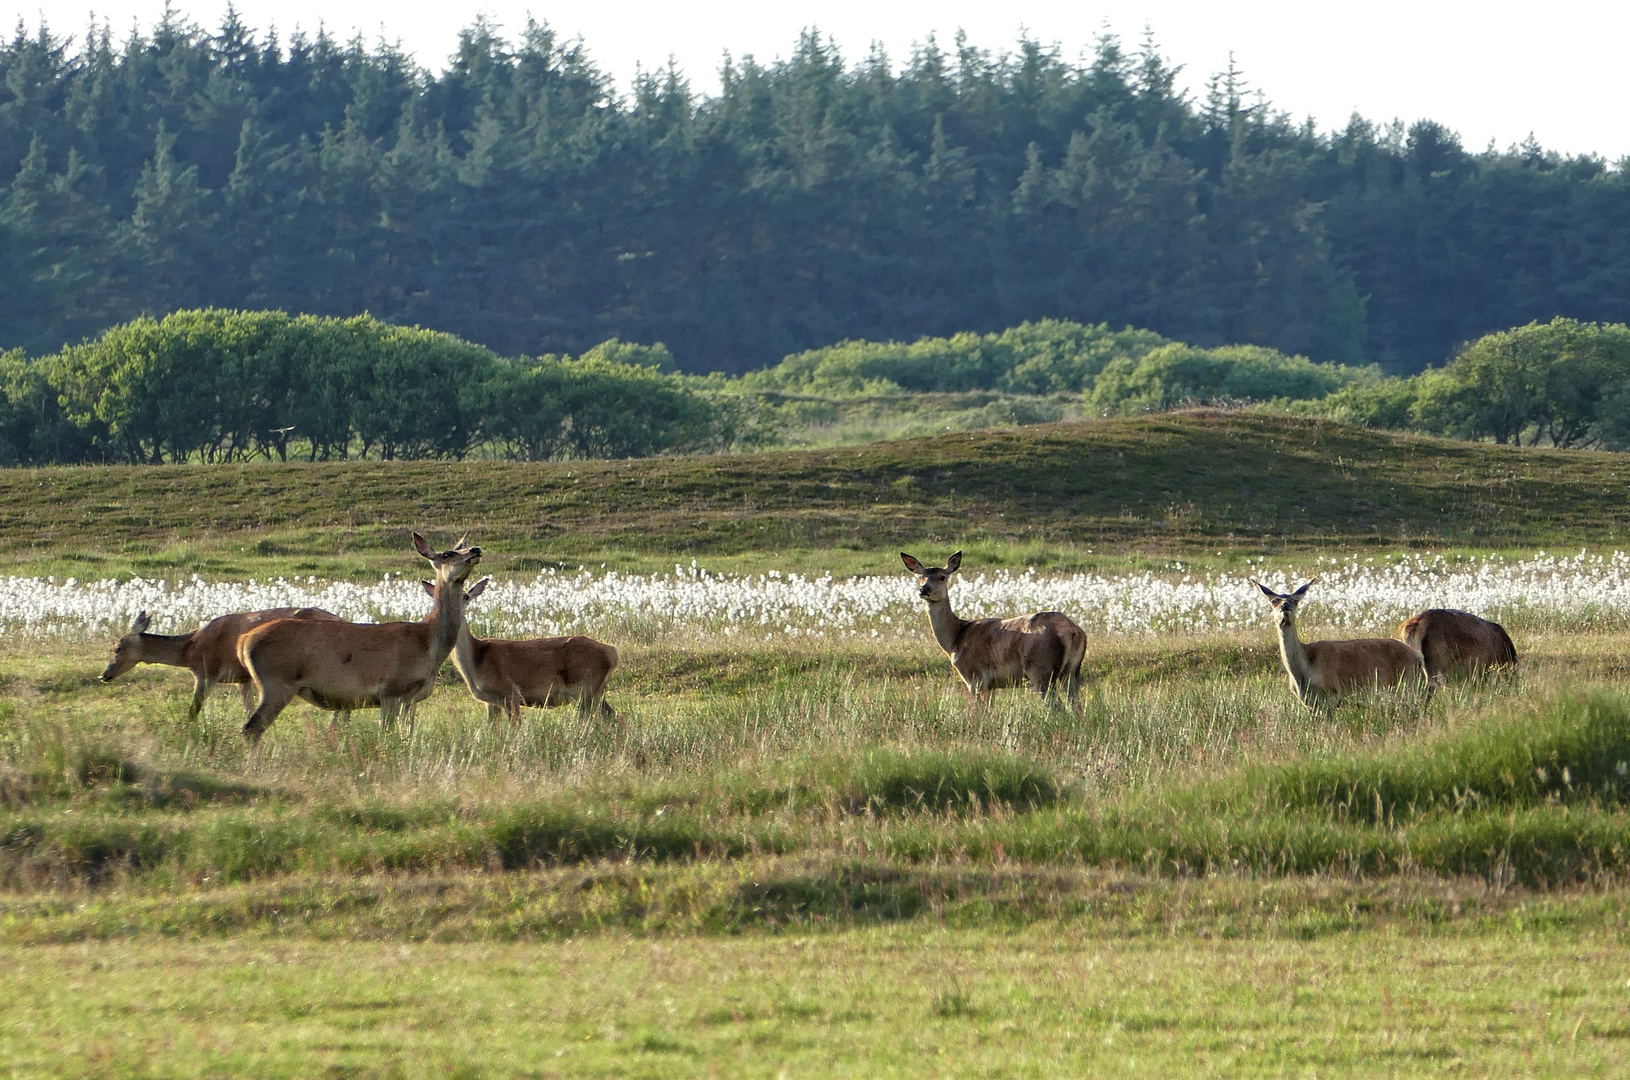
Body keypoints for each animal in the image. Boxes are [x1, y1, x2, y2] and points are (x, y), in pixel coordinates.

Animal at [98, 609, 347, 716]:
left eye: (117, 648)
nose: (104, 675)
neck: (189, 649)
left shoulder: (207, 671)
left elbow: (193, 709)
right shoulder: (241, 678)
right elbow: (248, 710)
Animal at [234, 531, 482, 742]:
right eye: (447, 554)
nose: (476, 549)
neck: (427, 643)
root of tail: (243, 641)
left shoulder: (407, 699)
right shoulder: (391, 689)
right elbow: (387, 736)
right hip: (276, 683)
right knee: (251, 729)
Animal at [899, 553, 1088, 706]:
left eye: (942, 577)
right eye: (920, 577)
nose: (924, 589)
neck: (955, 639)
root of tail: (1073, 631)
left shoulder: (975, 676)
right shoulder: (992, 685)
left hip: (1040, 667)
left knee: (1057, 706)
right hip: (1072, 671)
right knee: (1076, 706)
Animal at [1245, 579, 1427, 706]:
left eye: (1296, 601)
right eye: (1273, 601)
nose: (1286, 606)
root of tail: (1417, 658)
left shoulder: (1332, 693)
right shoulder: (1307, 703)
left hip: (1406, 684)